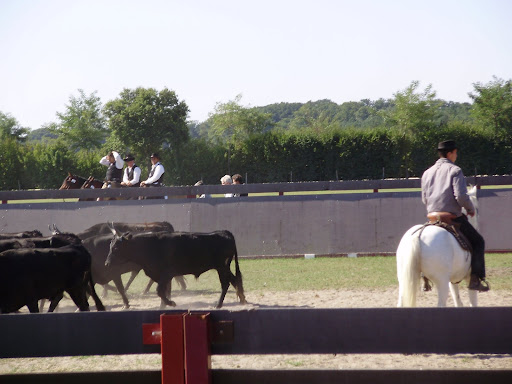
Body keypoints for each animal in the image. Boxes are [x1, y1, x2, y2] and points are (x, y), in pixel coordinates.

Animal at [105, 230, 246, 308]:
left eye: (116, 248)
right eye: (110, 247)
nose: (107, 263)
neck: (150, 246)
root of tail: (224, 232)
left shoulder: (166, 274)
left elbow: (160, 291)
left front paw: (171, 303)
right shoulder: (161, 276)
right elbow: (164, 292)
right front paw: (163, 306)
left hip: (221, 267)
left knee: (227, 283)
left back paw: (219, 304)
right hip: (223, 268)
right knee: (233, 280)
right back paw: (242, 300)